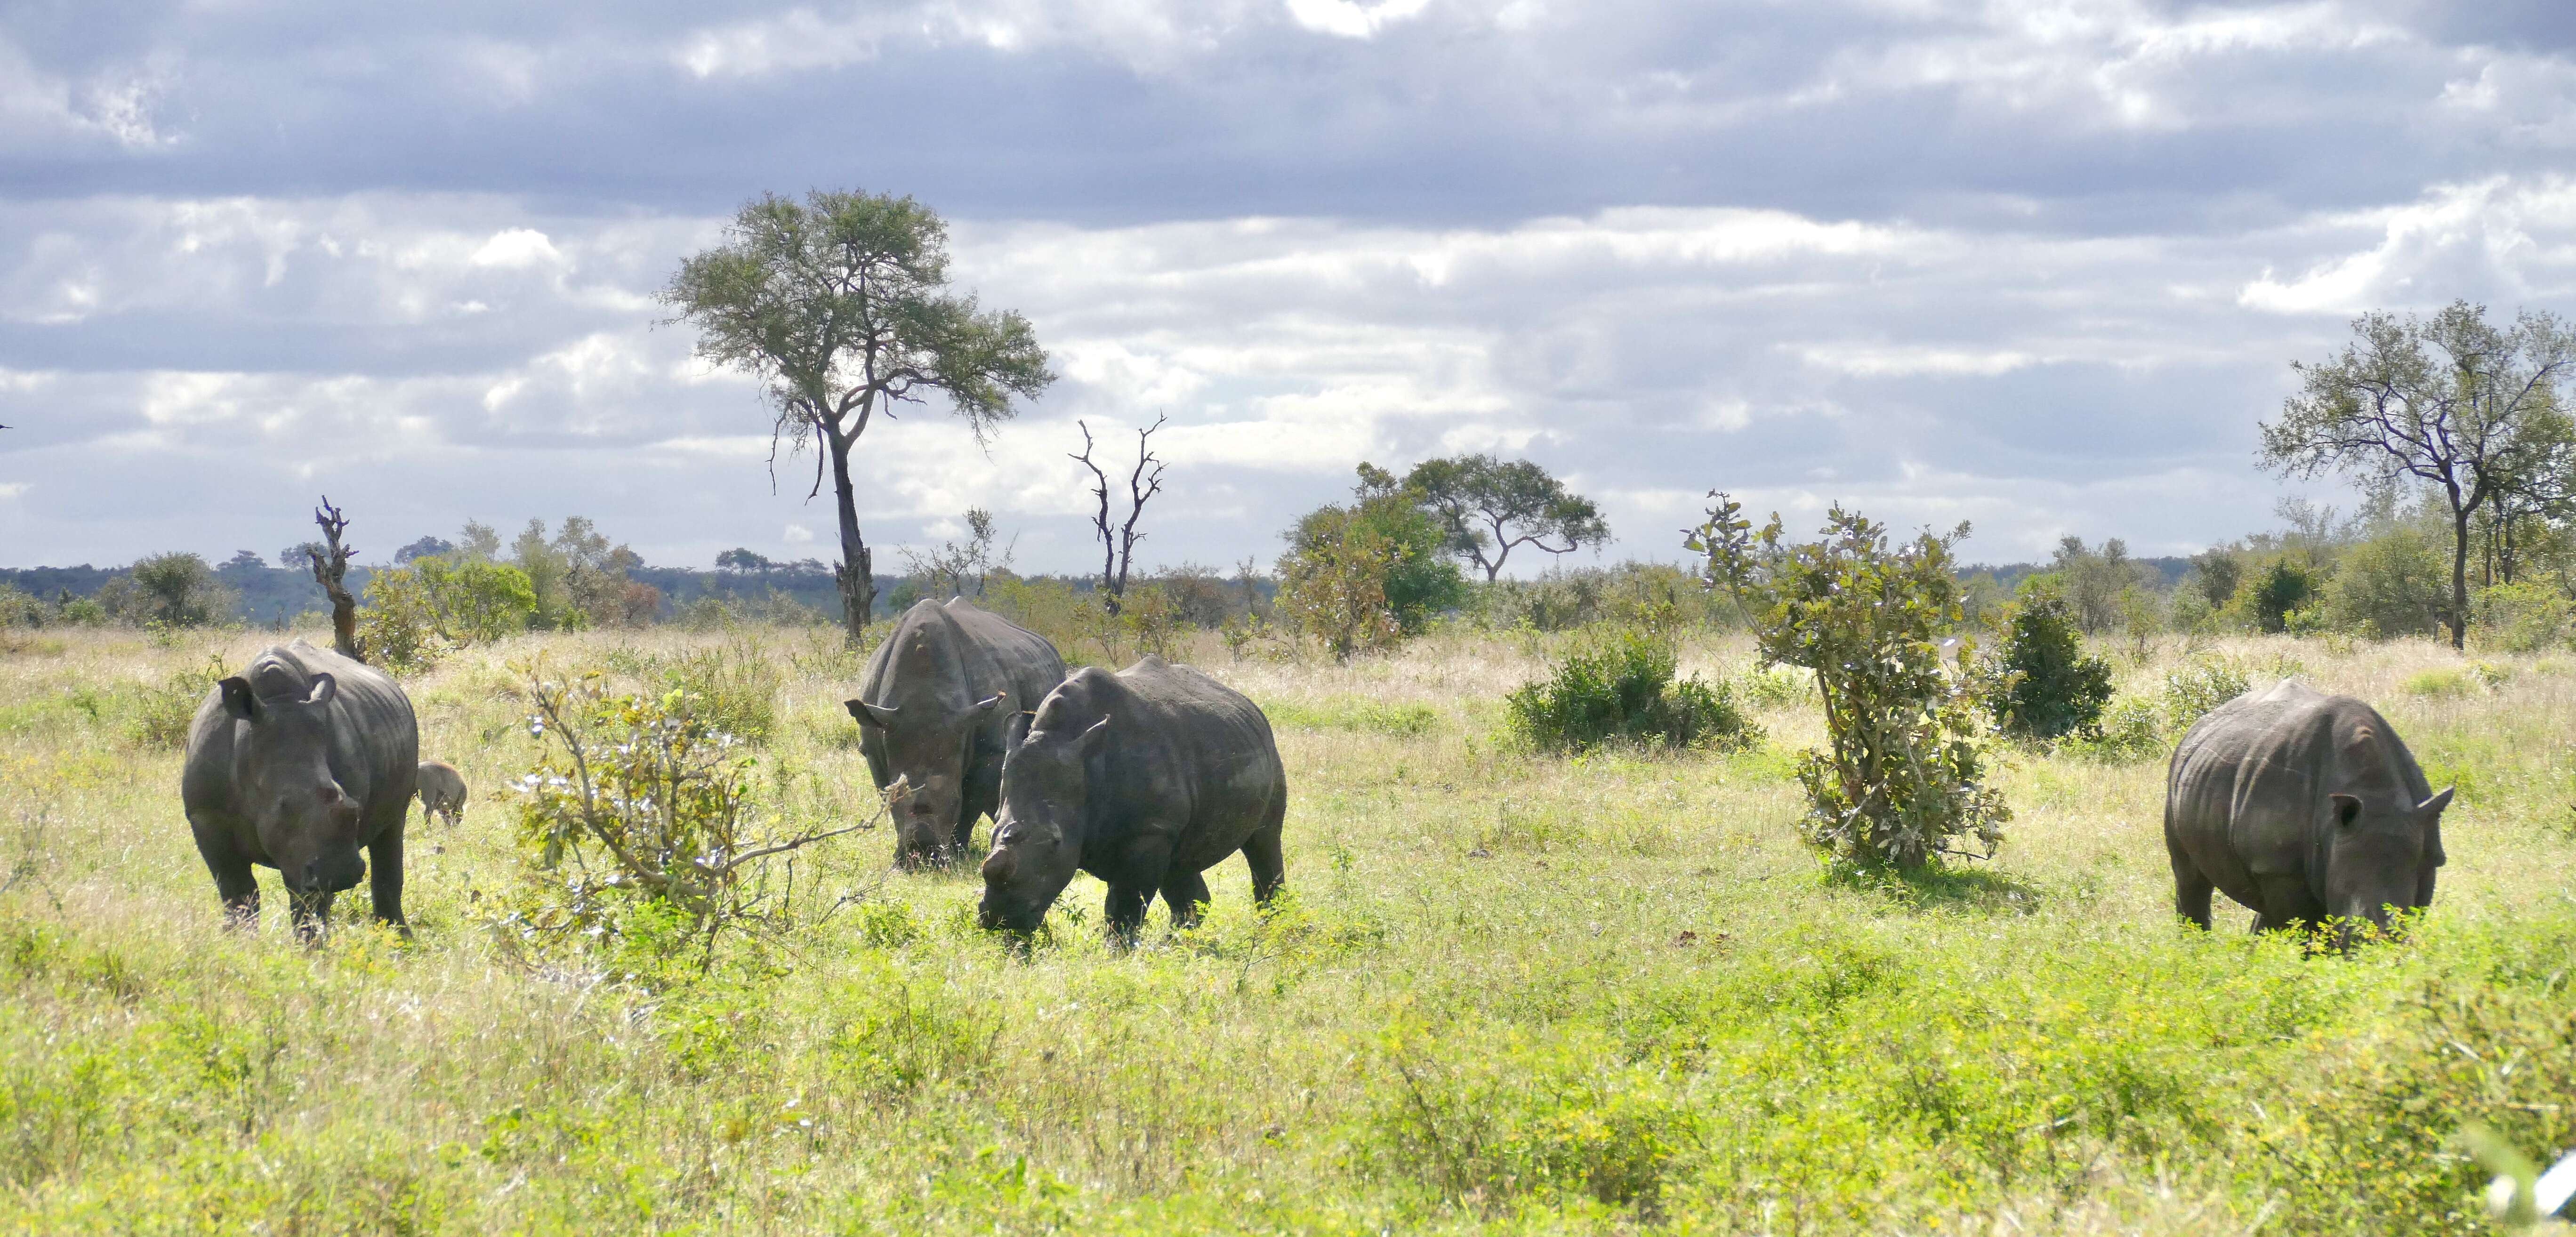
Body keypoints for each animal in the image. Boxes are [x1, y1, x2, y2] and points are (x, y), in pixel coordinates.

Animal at [974, 657, 1288, 938]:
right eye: (993, 830)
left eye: (1056, 842)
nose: (1001, 919)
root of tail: (1249, 704)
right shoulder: (1156, 826)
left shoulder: (1151, 831)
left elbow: (1124, 905)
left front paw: (1119, 953)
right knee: (1181, 865)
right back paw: (1179, 943)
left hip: (1269, 753)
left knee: (1265, 841)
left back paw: (1271, 928)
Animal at [2164, 675, 2442, 938]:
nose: (2377, 943)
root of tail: (2198, 725)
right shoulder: (2280, 869)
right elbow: (2306, 929)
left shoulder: (2427, 855)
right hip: (2180, 776)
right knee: (2190, 878)